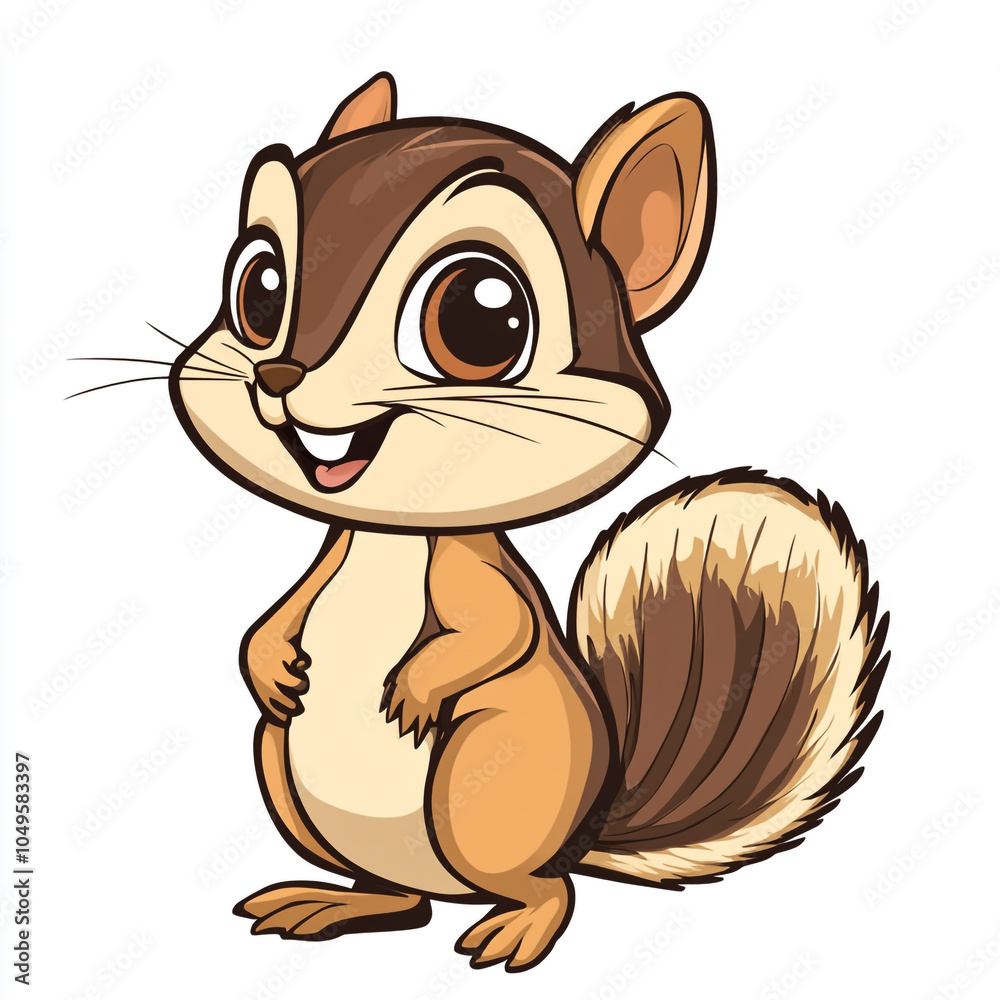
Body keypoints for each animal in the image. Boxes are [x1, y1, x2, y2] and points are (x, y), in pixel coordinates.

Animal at [168, 72, 888, 972]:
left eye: (480, 316)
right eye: (259, 287)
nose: (278, 373)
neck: (392, 535)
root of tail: (579, 836)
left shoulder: (473, 574)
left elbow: (499, 632)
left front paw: (415, 687)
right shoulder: (329, 559)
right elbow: (282, 613)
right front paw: (268, 663)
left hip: (482, 786)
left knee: (543, 888)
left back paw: (517, 926)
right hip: (284, 769)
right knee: (399, 898)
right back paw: (330, 901)